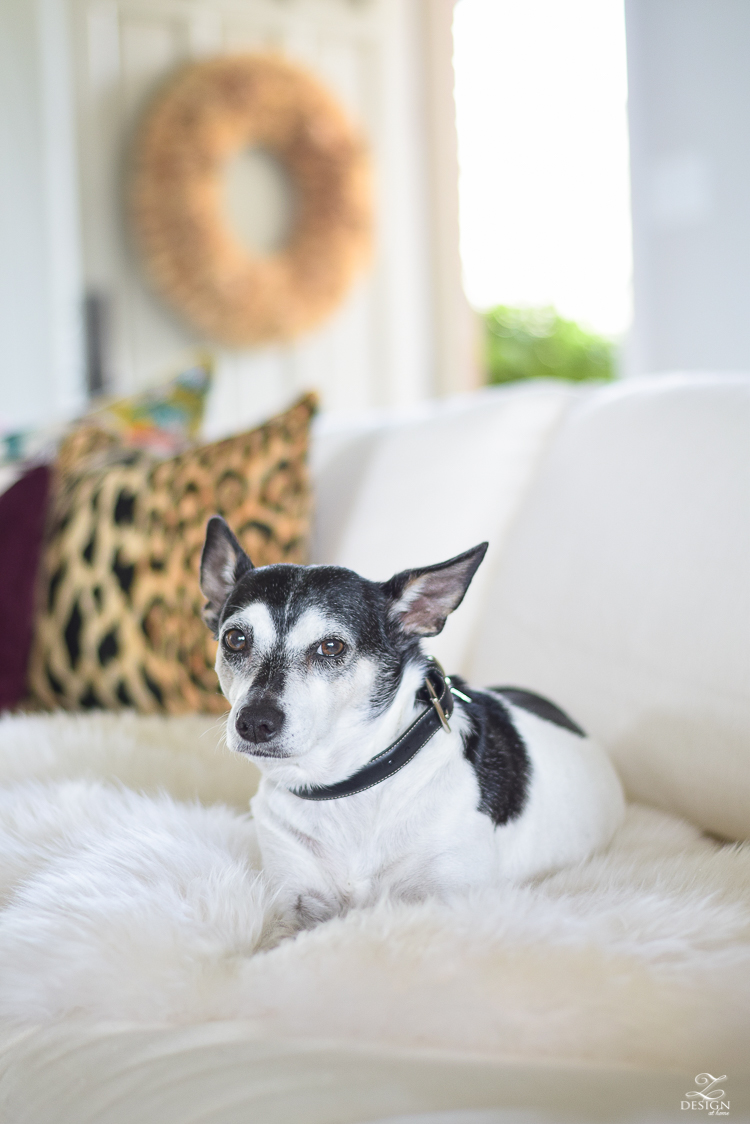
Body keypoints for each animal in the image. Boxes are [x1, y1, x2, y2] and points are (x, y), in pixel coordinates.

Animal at [197, 514, 620, 935]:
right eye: (235, 639)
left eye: (331, 647)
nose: (255, 722)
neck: (346, 788)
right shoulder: (294, 901)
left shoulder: (447, 898)